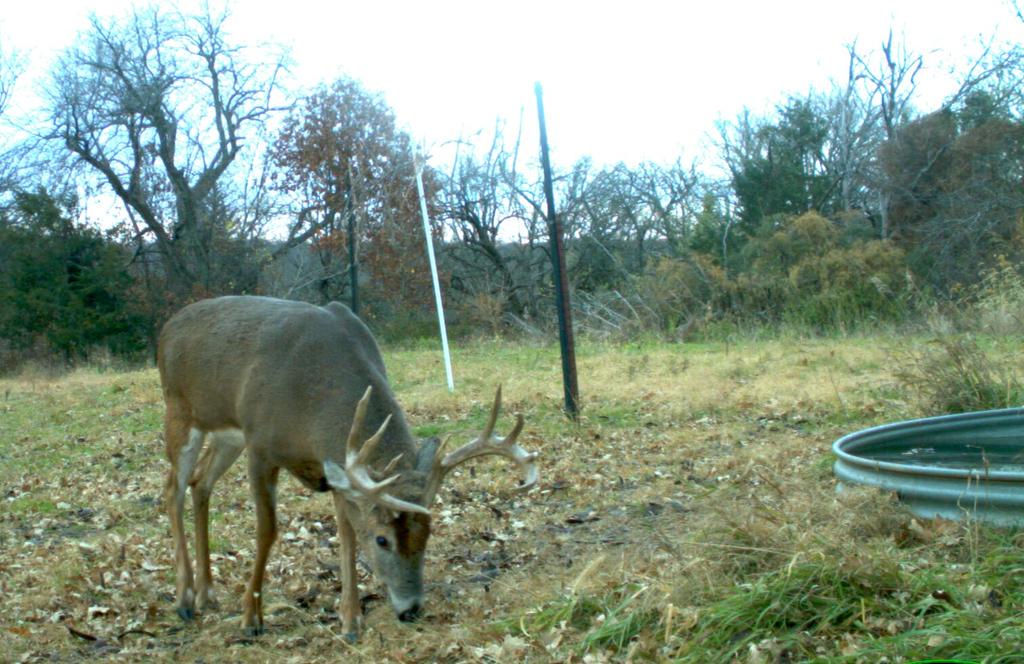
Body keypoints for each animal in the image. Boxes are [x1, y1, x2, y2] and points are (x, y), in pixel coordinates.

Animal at [157, 295, 538, 640]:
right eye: (382, 539)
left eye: (429, 533)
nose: (411, 609)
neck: (310, 404)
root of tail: (168, 326)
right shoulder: (261, 446)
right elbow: (267, 530)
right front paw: (251, 618)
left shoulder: (336, 467)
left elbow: (347, 532)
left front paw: (351, 621)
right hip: (180, 411)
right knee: (173, 488)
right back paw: (184, 599)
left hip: (226, 435)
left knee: (200, 482)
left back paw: (207, 594)